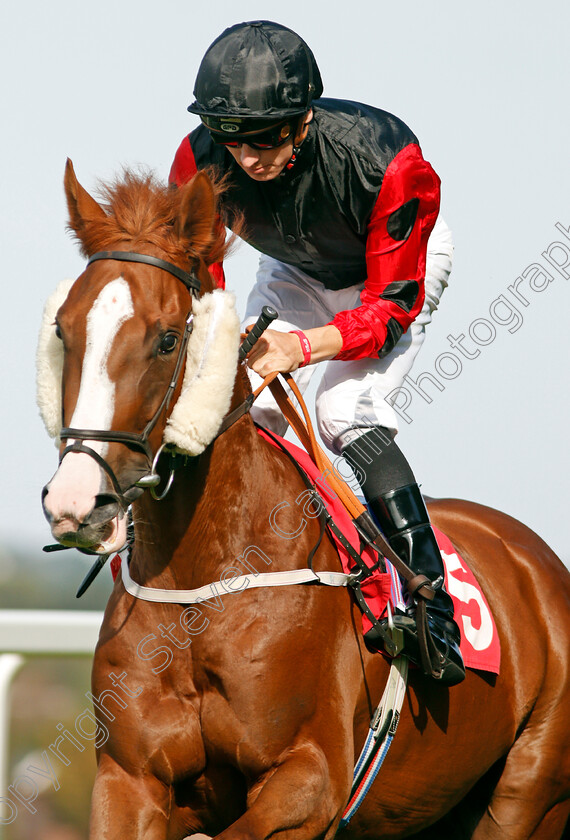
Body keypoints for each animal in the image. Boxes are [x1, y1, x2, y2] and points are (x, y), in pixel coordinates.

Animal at [40, 159, 568, 840]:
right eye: (63, 331)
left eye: (166, 340)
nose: (79, 502)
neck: (201, 584)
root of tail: (532, 555)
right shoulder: (127, 782)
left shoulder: (310, 782)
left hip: (528, 796)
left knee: (355, 418)